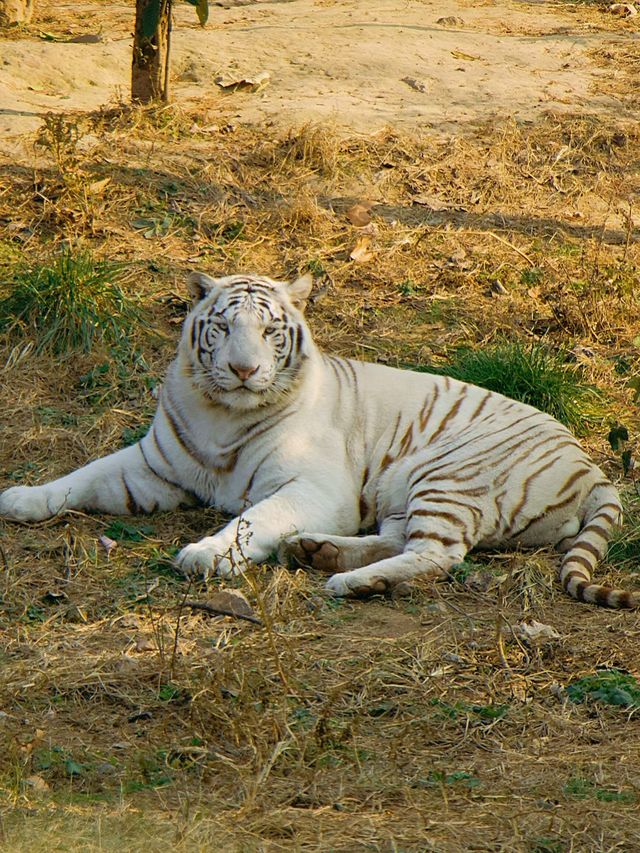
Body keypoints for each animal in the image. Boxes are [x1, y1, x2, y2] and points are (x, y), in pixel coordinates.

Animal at [0, 270, 632, 608]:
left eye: (270, 331)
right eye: (222, 327)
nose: (244, 370)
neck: (221, 414)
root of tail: (591, 465)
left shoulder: (313, 485)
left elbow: (251, 520)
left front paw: (206, 554)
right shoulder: (151, 468)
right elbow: (83, 476)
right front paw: (21, 498)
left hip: (447, 473)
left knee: (439, 554)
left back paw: (348, 580)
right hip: (407, 491)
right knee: (398, 538)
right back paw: (315, 550)